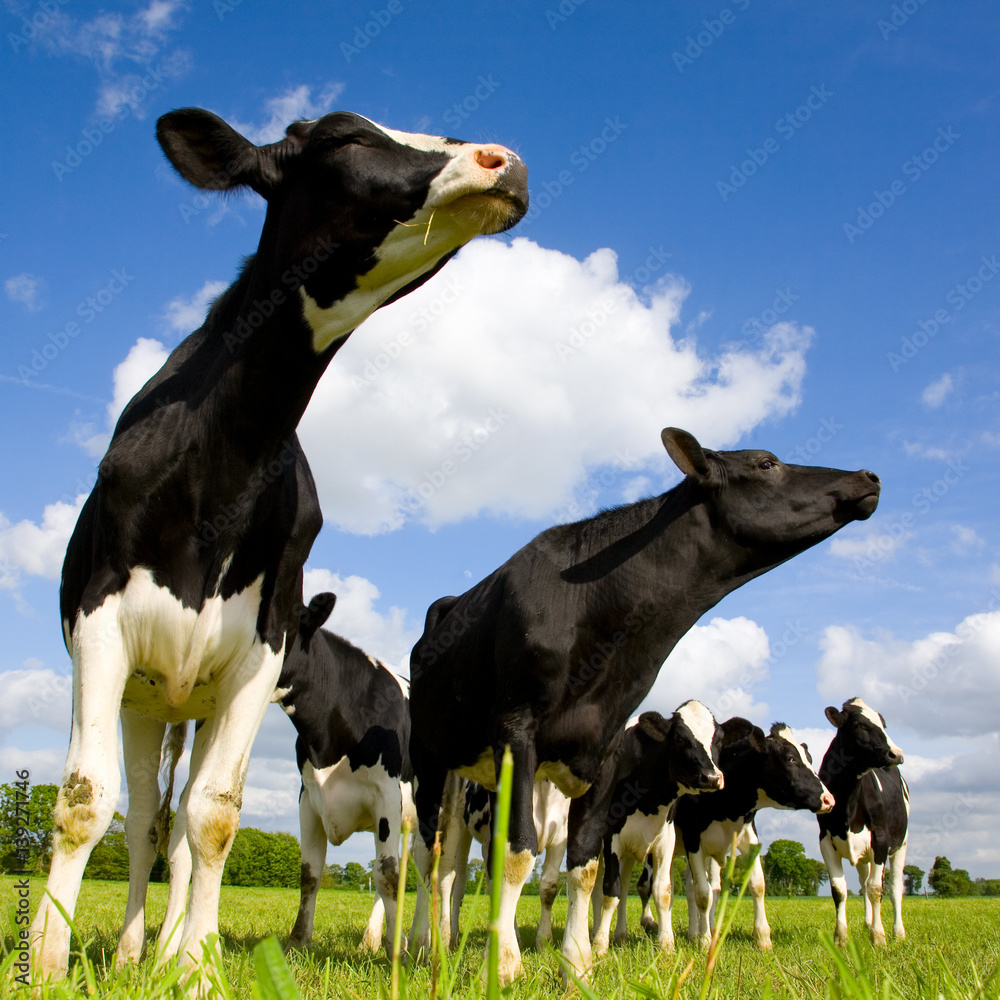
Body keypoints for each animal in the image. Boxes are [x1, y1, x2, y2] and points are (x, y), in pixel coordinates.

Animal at [31, 105, 528, 980]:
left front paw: (196, 967)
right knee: (142, 822)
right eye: (344, 139)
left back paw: (166, 949)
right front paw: (50, 960)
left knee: (181, 828)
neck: (226, 457)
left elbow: (216, 816)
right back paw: (128, 948)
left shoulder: (257, 653)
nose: (504, 160)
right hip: (147, 698)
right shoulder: (101, 626)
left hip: (200, 702)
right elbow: (87, 799)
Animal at [588, 700, 724, 956]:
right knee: (598, 891)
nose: (711, 778)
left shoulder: (665, 840)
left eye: (719, 739)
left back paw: (620, 935)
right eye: (679, 738)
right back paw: (594, 933)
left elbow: (663, 891)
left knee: (624, 887)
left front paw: (667, 945)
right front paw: (600, 945)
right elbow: (610, 891)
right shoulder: (611, 838)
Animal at [820, 696, 908, 944]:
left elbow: (876, 889)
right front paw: (840, 937)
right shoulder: (825, 841)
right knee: (863, 881)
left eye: (884, 724)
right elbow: (839, 890)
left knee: (894, 888)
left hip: (901, 845)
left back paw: (898, 932)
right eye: (859, 725)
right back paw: (868, 923)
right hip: (862, 856)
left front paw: (879, 937)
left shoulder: (881, 840)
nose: (897, 754)